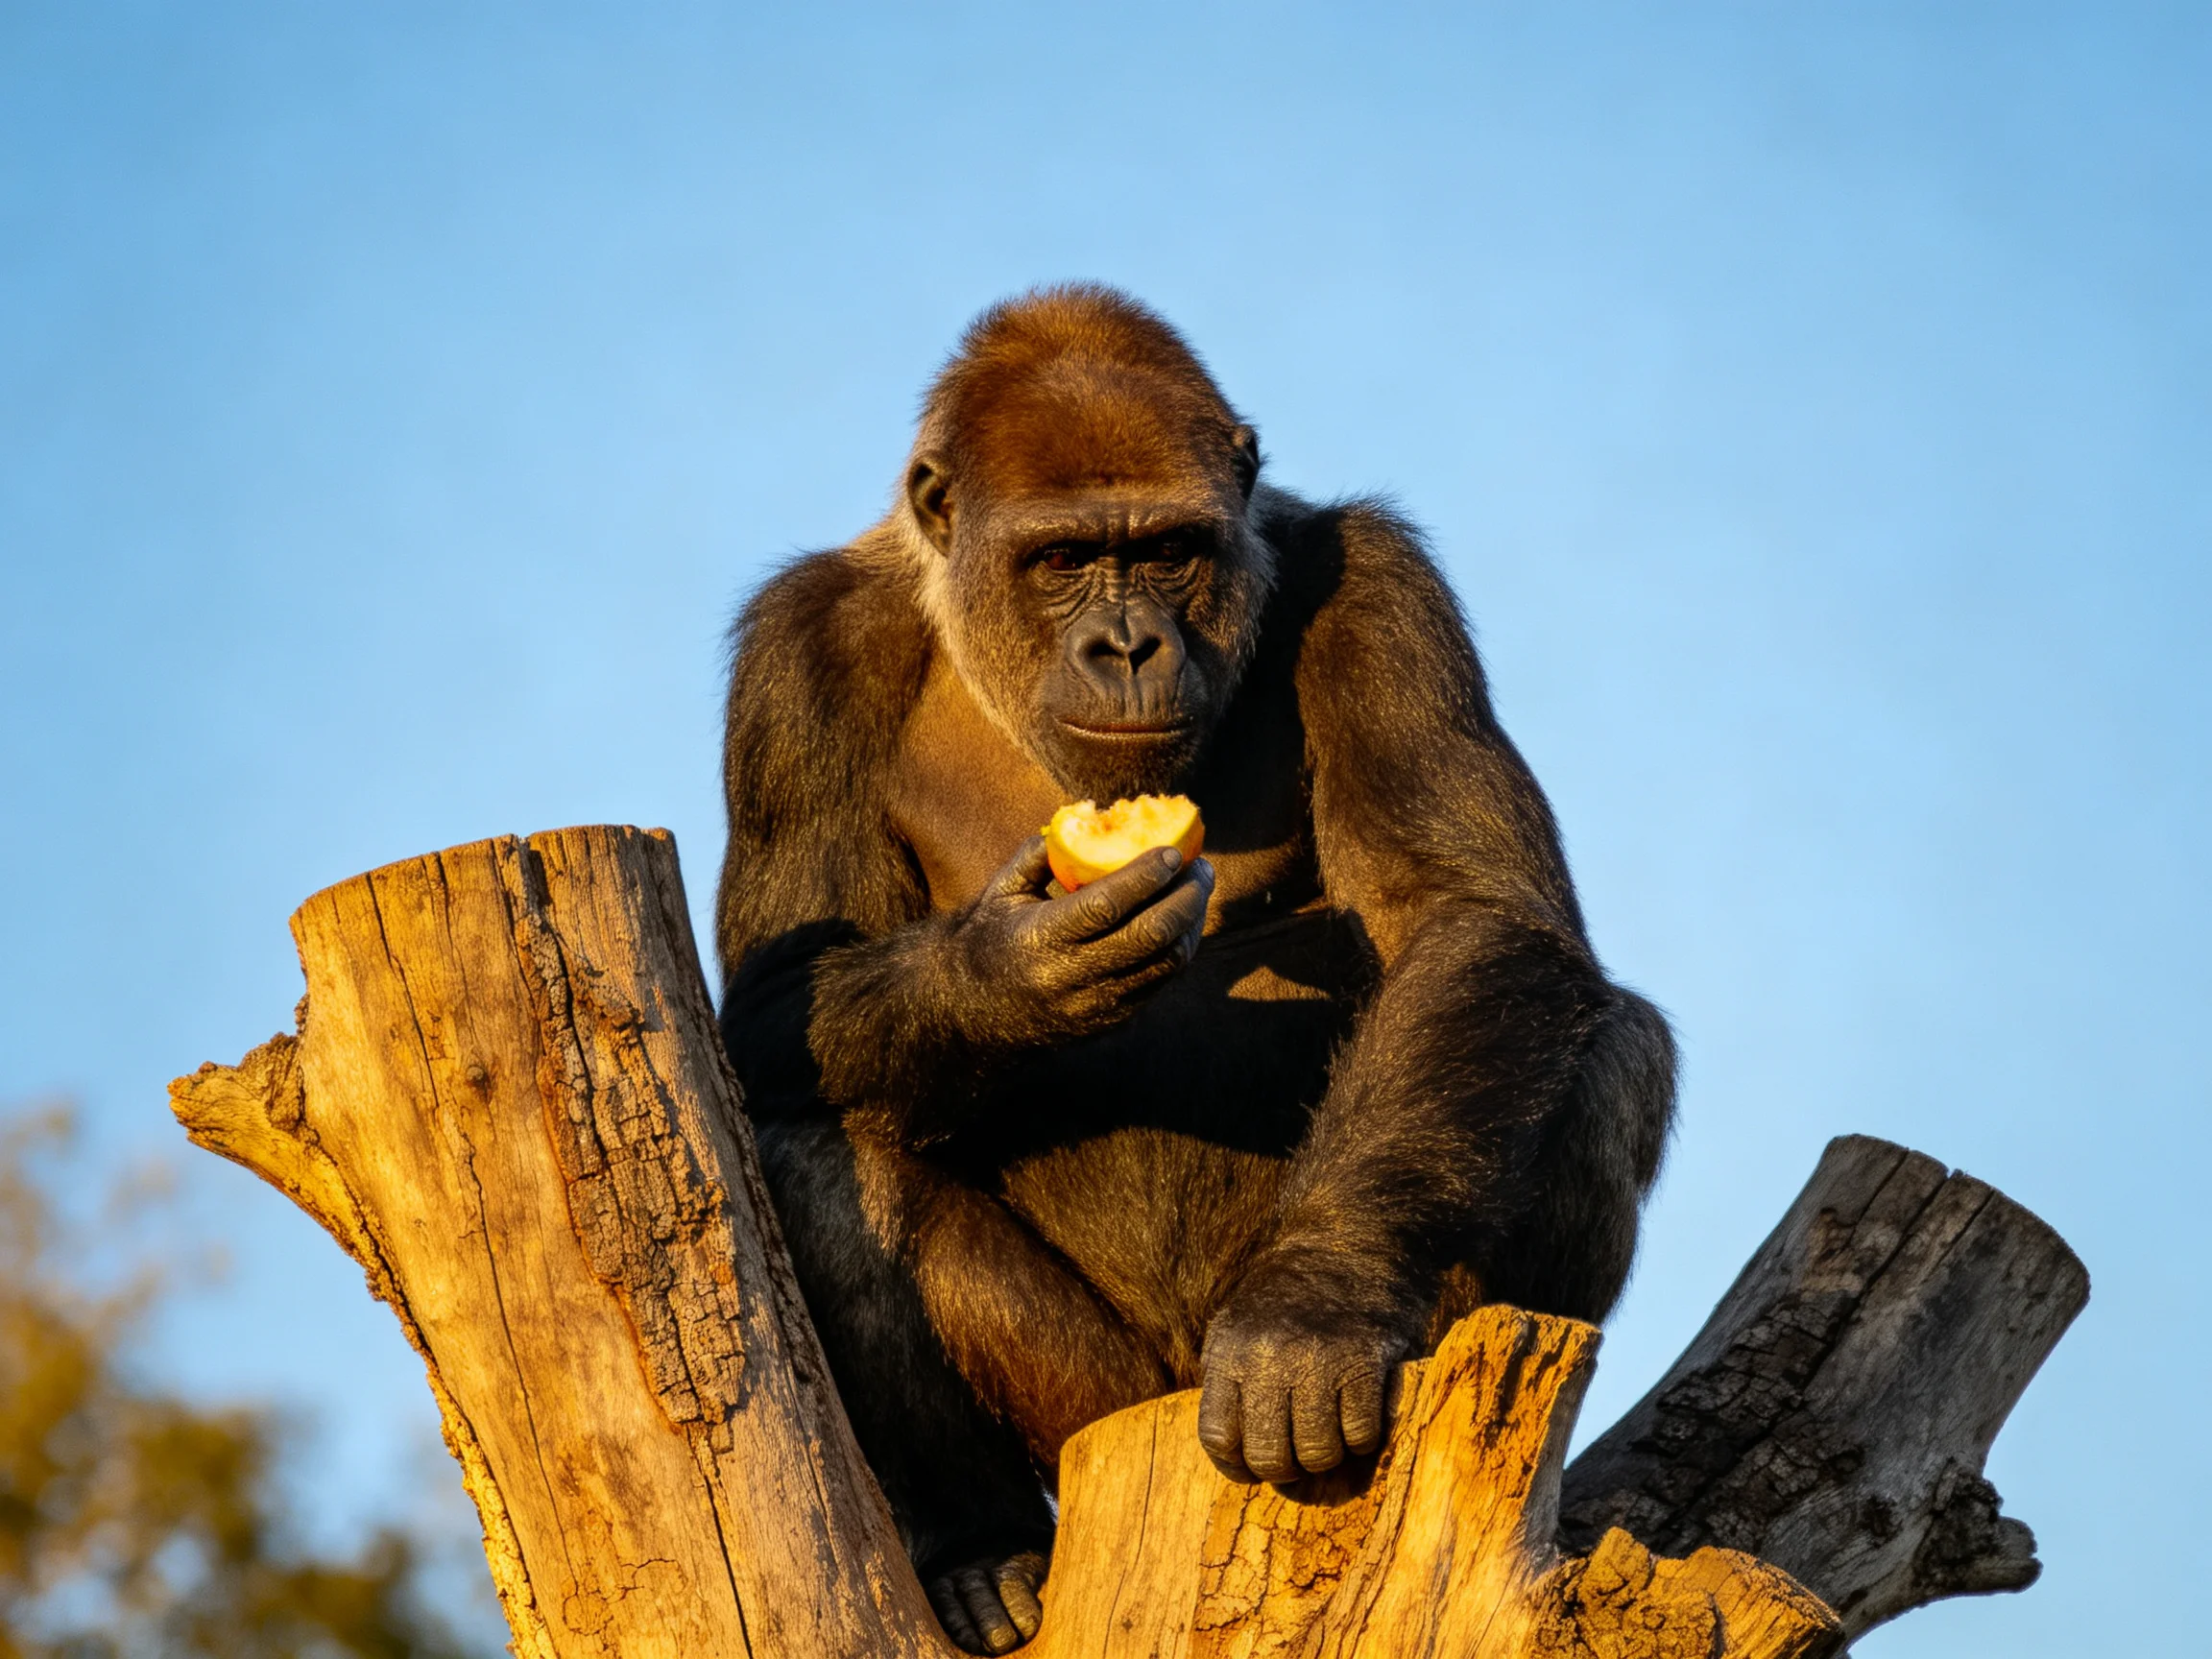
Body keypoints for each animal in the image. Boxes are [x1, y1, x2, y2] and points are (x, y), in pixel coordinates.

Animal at [714, 285, 1675, 1655]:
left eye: (1169, 551)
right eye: (1064, 562)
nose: (1126, 646)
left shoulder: (1380, 585)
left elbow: (1469, 913)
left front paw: (1315, 1304)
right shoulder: (798, 656)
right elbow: (777, 1003)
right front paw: (999, 978)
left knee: (1602, 1044)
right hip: (1093, 1404)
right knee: (817, 1143)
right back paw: (982, 1546)